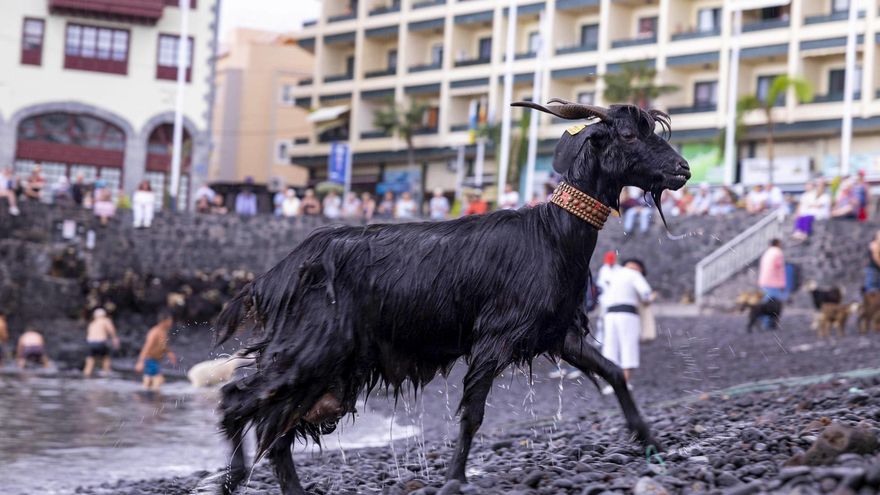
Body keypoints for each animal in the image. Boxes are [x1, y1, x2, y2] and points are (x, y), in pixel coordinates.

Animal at [212, 102, 691, 495]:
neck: (552, 234)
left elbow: (614, 372)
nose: (683, 169)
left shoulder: (557, 333)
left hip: (328, 370)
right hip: (311, 350)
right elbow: (473, 413)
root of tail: (275, 275)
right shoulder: (495, 337)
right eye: (628, 135)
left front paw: (650, 440)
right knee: (237, 400)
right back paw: (234, 476)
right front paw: (455, 478)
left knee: (275, 428)